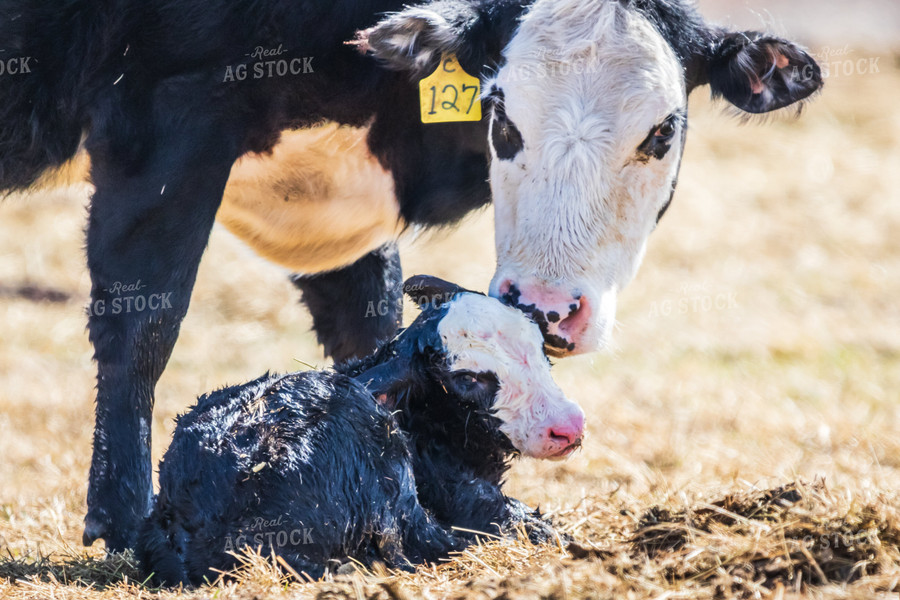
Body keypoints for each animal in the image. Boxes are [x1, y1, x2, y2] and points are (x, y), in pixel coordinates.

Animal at [0, 0, 824, 552]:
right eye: (501, 119)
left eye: (662, 131)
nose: (549, 307)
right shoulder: (163, 117)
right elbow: (143, 324)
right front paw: (116, 521)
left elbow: (365, 321)